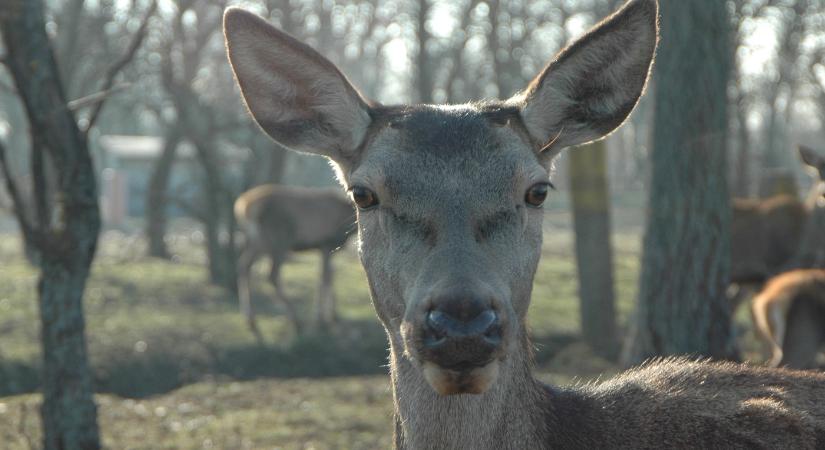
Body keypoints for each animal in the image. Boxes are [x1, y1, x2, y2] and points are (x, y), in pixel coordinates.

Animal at [235, 183, 358, 338]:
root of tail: (243, 208)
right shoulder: (326, 244)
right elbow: (324, 277)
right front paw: (322, 319)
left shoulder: (324, 248)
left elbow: (329, 276)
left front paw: (334, 315)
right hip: (278, 240)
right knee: (271, 275)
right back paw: (296, 321)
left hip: (258, 242)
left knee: (244, 265)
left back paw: (250, 320)